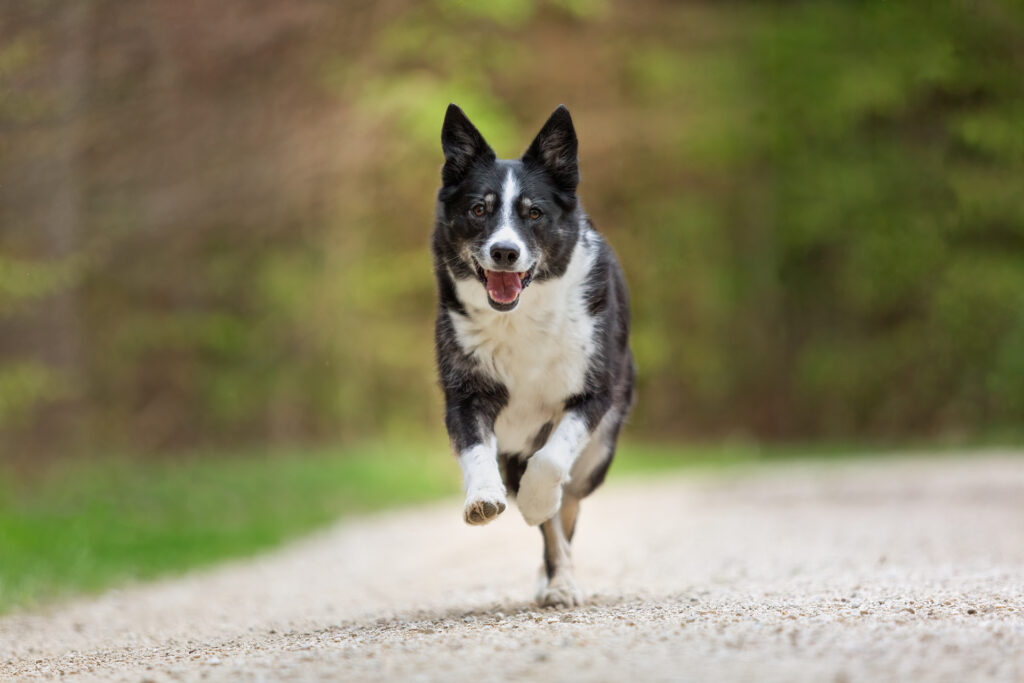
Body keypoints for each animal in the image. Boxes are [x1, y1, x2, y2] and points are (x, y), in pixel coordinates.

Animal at [430, 104, 630, 606]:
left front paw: (539, 501)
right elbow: (474, 450)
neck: (519, 318)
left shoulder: (593, 392)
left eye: (534, 213)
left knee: (569, 505)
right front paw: (482, 497)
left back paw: (559, 577)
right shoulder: (465, 394)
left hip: (598, 455)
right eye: (478, 209)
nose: (504, 251)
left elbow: (552, 462)